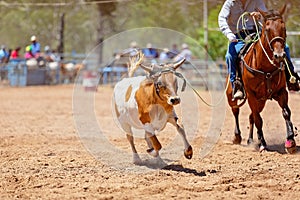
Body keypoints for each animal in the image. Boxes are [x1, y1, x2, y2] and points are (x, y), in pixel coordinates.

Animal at [226, 5, 296, 154]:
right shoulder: (251, 95)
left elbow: (286, 112)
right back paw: (237, 137)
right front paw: (263, 144)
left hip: (261, 101)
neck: (265, 67)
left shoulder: (281, 92)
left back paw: (251, 140)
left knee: (251, 116)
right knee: (236, 111)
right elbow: (259, 119)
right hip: (231, 95)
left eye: (284, 28)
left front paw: (290, 142)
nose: (279, 55)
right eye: (267, 29)